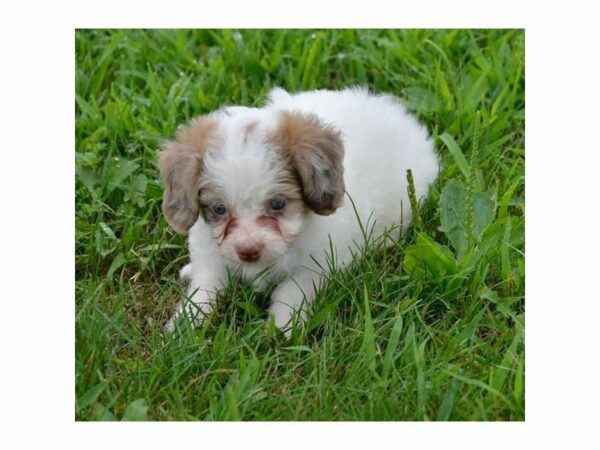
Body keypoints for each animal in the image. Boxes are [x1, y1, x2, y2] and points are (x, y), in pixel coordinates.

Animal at [159, 87, 438, 334]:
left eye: (278, 204)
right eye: (219, 208)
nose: (248, 251)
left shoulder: (317, 262)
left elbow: (292, 288)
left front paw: (283, 325)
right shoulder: (211, 254)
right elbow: (205, 286)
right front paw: (186, 325)